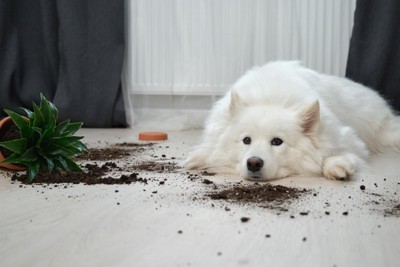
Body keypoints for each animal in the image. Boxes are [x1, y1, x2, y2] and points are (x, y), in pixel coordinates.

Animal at [186, 61, 400, 181]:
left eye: (277, 142)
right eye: (246, 140)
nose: (254, 163)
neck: (270, 97)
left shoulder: (349, 140)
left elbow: (336, 152)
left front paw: (336, 166)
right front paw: (198, 157)